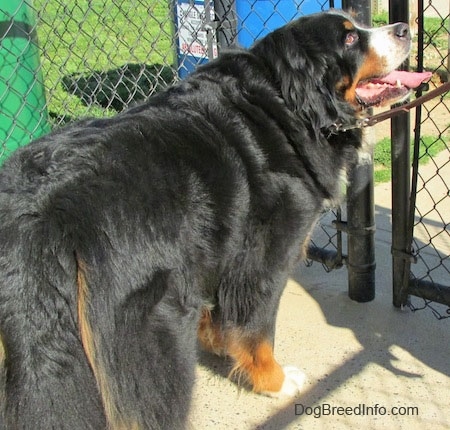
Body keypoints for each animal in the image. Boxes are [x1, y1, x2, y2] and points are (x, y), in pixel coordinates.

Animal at [0, 8, 414, 428]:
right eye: (349, 39)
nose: (404, 28)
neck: (286, 107)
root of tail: (47, 208)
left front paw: (217, 343)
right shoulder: (262, 261)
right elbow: (255, 330)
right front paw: (276, 382)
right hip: (153, 329)